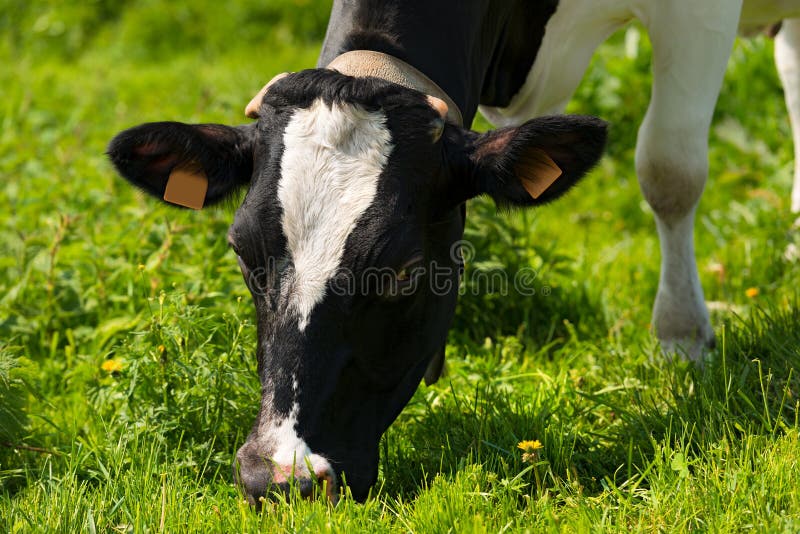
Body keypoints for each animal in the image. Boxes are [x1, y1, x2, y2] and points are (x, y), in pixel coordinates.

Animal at [107, 0, 800, 507]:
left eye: (402, 273)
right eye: (244, 256)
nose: (279, 479)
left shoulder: (697, 14)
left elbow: (669, 166)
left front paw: (683, 340)